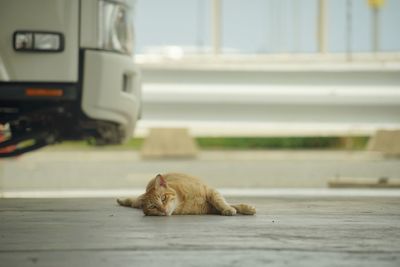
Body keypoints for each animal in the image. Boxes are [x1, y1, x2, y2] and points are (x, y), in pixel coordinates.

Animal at [116, 173, 256, 217]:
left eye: (163, 198)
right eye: (152, 207)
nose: (163, 210)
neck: (183, 201)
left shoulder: (210, 191)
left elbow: (222, 202)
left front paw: (243, 208)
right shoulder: (209, 208)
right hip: (136, 202)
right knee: (132, 200)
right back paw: (121, 200)